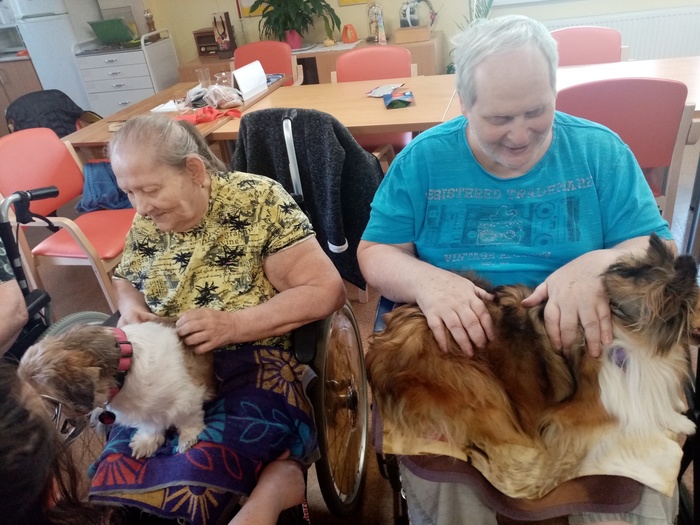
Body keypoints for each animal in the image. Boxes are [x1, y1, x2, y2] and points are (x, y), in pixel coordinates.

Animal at [17, 320, 215, 459]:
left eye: (52, 407)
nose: (68, 425)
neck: (124, 370)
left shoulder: (185, 400)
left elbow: (187, 420)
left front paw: (187, 437)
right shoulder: (147, 412)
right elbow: (151, 425)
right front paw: (147, 441)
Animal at [366, 234, 698, 498]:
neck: (632, 324)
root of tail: (380, 348)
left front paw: (679, 418)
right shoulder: (588, 406)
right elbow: (634, 413)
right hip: (480, 388)